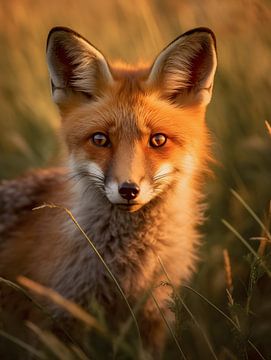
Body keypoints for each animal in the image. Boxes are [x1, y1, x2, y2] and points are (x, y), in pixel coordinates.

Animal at [0, 26, 217, 358]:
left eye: (158, 140)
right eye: (100, 139)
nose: (128, 190)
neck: (125, 272)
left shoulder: (152, 318)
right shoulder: (55, 320)